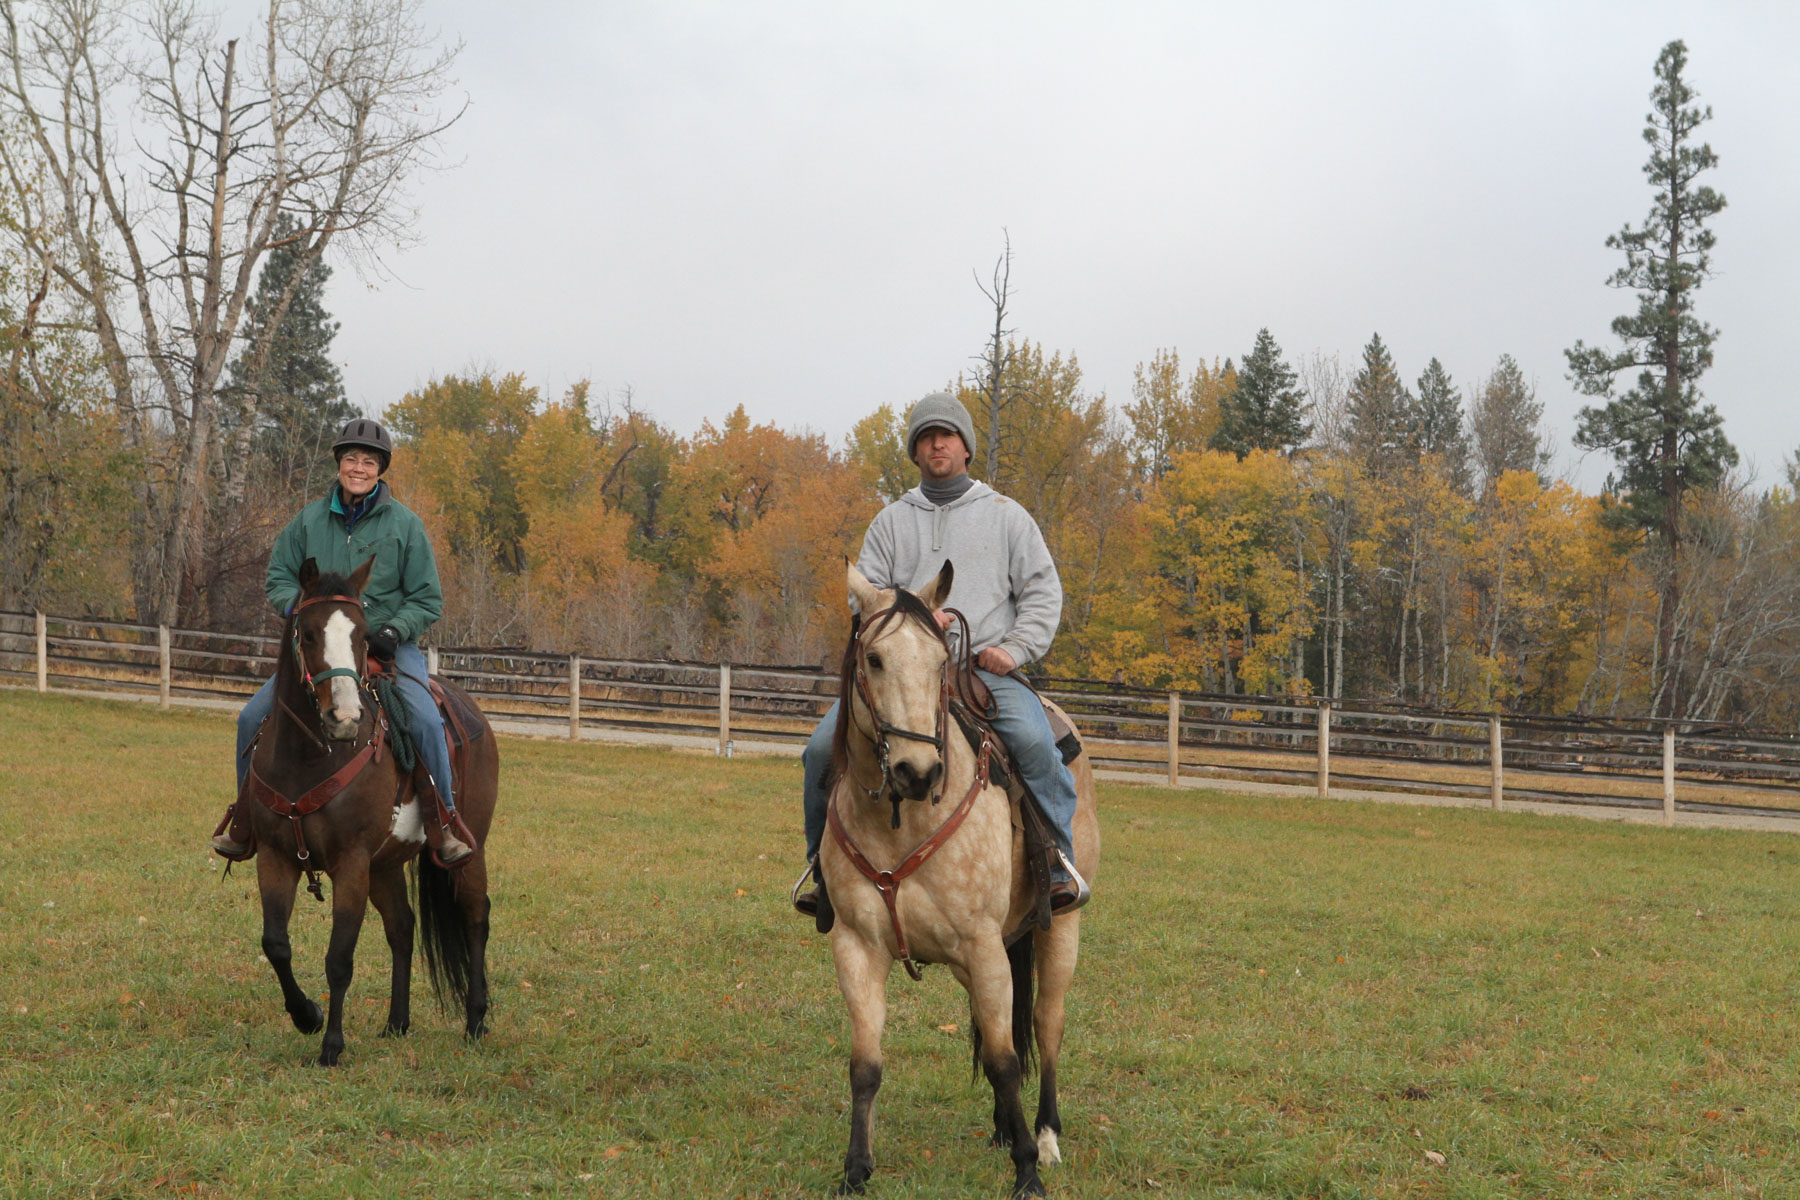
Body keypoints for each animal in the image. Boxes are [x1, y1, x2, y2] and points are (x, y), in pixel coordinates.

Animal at [234, 556, 499, 1066]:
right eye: (308, 633)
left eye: (363, 634)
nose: (344, 719)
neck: (312, 757)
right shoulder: (276, 858)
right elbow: (276, 945)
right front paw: (307, 1016)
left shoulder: (351, 864)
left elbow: (339, 959)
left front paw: (331, 1046)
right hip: (386, 865)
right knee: (402, 927)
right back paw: (397, 1022)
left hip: (469, 848)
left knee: (476, 917)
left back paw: (476, 1021)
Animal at [819, 560, 1101, 1198]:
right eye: (874, 658)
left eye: (940, 661)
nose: (917, 772)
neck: (901, 821)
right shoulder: (857, 947)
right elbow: (865, 1065)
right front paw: (856, 1170)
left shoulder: (982, 944)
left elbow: (1004, 1062)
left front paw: (1027, 1173)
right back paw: (1003, 1129)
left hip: (1059, 930)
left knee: (1045, 1025)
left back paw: (1045, 1137)